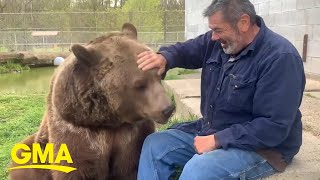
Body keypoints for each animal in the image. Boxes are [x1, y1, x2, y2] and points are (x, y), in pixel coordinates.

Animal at [8, 23, 175, 180]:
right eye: (139, 84)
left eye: (160, 76)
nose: (168, 109)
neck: (109, 119)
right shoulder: (75, 126)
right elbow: (78, 168)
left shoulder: (130, 134)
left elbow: (130, 166)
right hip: (40, 146)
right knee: (23, 155)